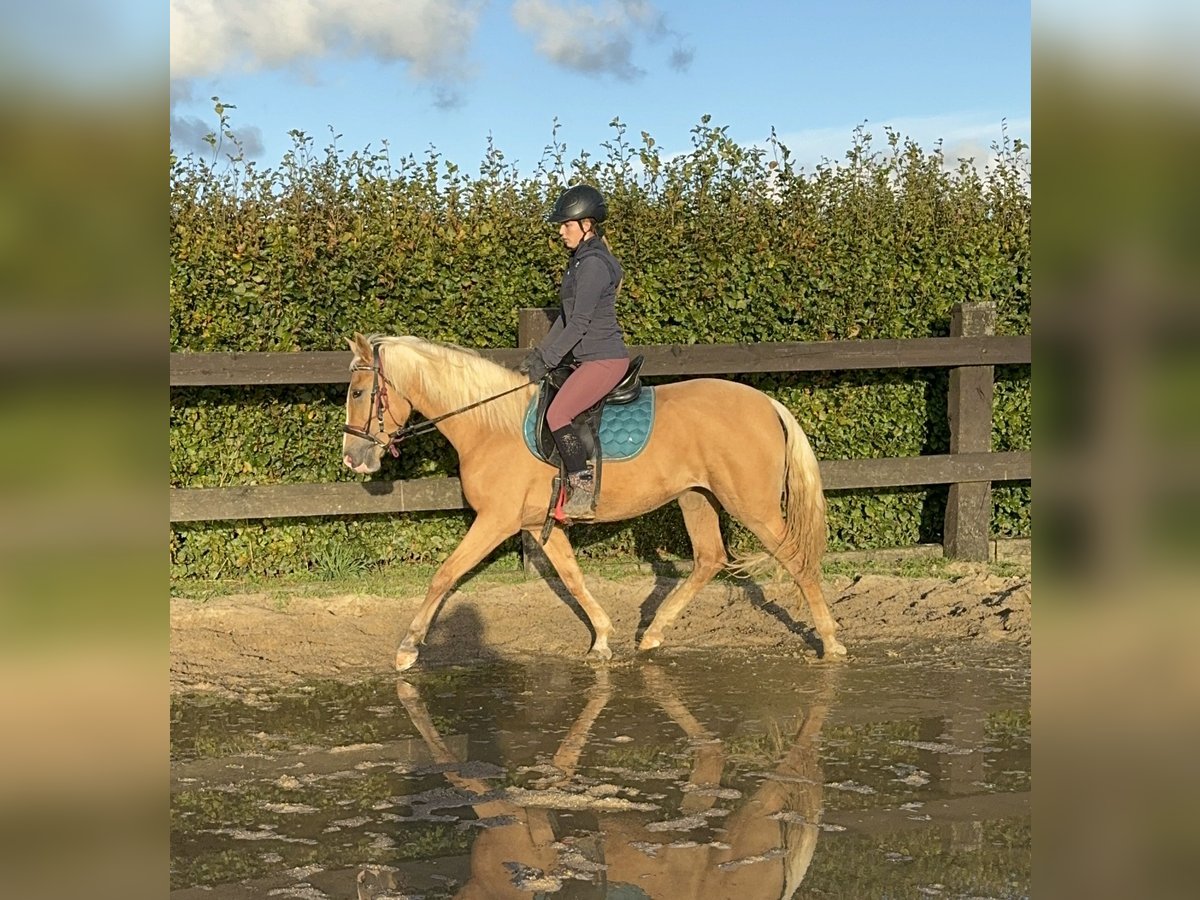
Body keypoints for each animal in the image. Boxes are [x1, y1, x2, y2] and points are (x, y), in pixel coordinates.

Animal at [338, 331, 844, 672]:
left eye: (360, 392)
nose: (352, 458)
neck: (491, 425)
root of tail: (768, 403)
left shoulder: (496, 521)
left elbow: (445, 574)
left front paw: (407, 648)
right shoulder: (535, 524)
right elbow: (572, 577)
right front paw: (601, 638)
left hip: (751, 506)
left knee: (797, 559)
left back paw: (830, 641)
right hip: (696, 497)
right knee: (709, 558)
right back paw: (653, 635)